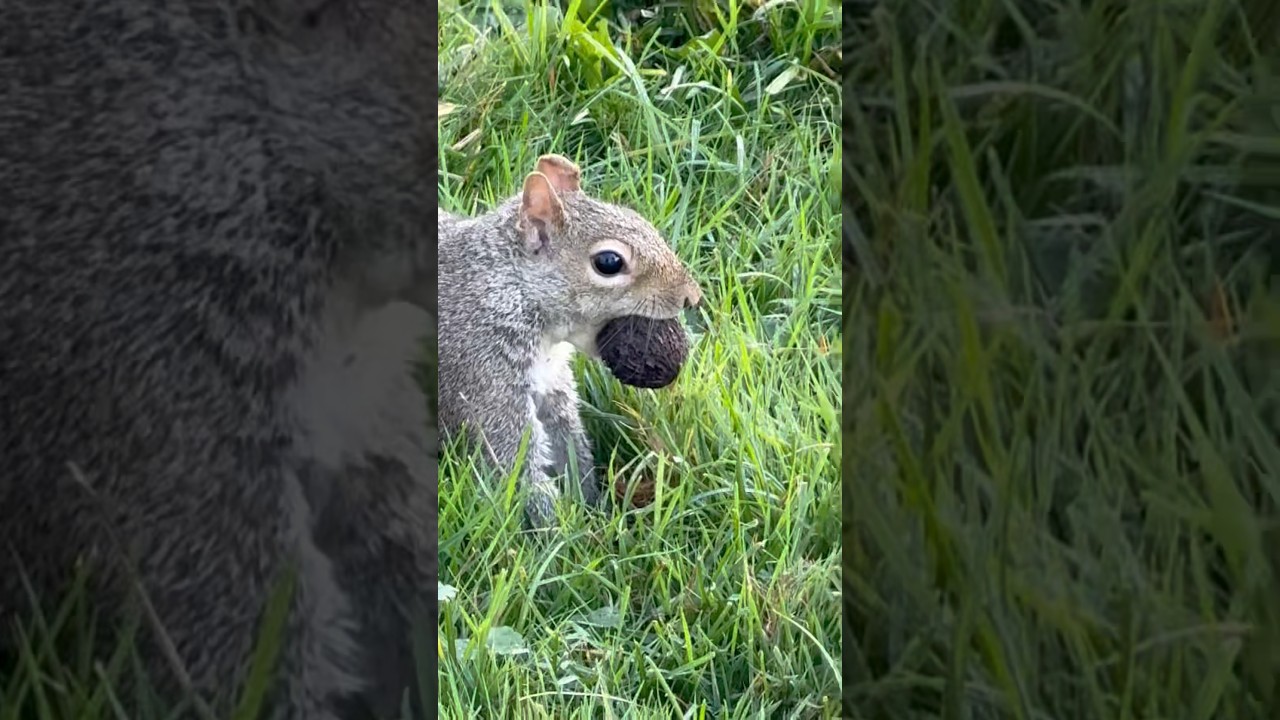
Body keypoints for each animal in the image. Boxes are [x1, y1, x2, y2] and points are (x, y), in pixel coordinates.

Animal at [437, 154, 703, 528]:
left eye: (639, 218)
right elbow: (518, 463)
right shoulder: (484, 378)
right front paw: (566, 533)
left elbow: (571, 445)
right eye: (609, 262)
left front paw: (592, 505)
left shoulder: (553, 385)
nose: (691, 296)